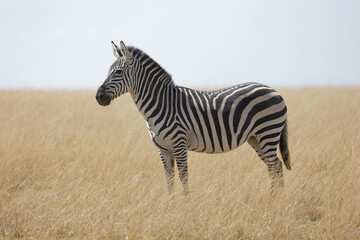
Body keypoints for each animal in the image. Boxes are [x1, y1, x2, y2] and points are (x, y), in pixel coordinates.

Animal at [95, 40, 290, 195]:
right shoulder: (163, 149)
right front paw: (170, 203)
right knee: (274, 167)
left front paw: (185, 205)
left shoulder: (179, 144)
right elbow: (169, 178)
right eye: (108, 71)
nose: (98, 97)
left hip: (268, 132)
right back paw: (275, 199)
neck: (161, 103)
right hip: (255, 137)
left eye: (119, 72)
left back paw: (275, 200)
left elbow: (183, 177)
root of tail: (274, 91)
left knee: (275, 166)